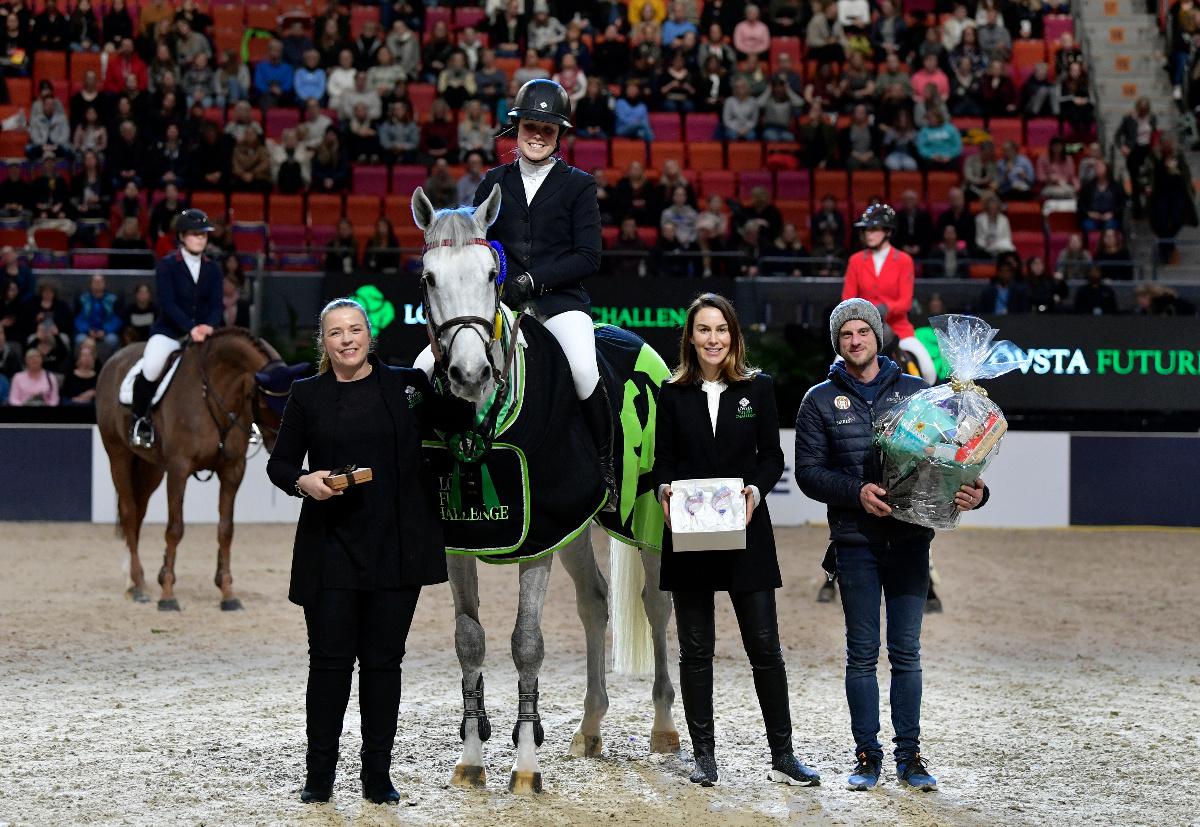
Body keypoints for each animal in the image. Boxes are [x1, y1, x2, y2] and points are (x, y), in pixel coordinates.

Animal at [96, 326, 307, 607]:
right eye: (265, 402)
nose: (277, 445)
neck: (215, 393)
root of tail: (115, 358)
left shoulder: (232, 470)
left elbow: (226, 530)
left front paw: (227, 593)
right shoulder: (178, 468)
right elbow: (175, 529)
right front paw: (167, 594)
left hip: (151, 468)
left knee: (138, 513)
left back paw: (134, 581)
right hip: (118, 455)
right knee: (130, 513)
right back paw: (138, 585)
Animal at [412, 183, 681, 792]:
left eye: (493, 274)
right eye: (429, 277)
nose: (470, 374)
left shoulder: (538, 539)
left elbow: (526, 643)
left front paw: (526, 767)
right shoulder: (461, 540)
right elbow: (470, 640)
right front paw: (472, 759)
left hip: (647, 516)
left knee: (657, 603)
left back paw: (663, 727)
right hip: (576, 528)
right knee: (595, 602)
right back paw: (590, 727)